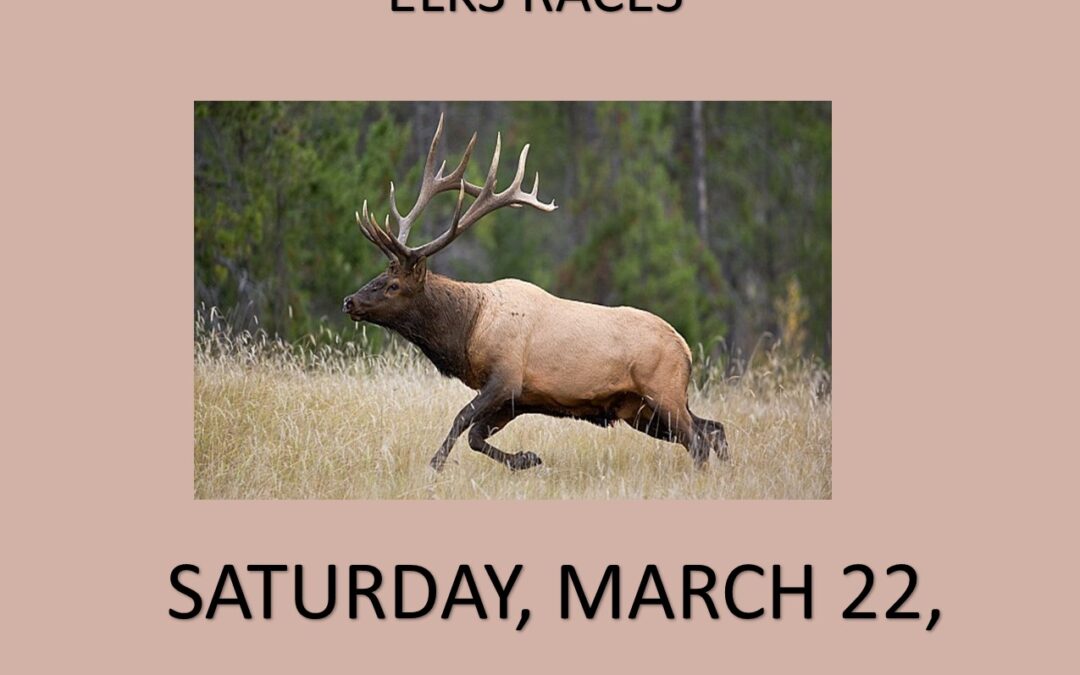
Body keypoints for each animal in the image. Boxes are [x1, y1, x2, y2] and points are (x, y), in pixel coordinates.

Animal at [343, 115, 728, 472]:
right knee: (713, 428)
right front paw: (527, 458)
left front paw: (435, 465)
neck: (468, 329)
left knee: (698, 438)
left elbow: (461, 420)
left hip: (662, 391)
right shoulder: (519, 399)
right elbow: (475, 436)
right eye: (380, 274)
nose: (349, 301)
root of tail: (685, 349)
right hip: (639, 409)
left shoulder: (505, 378)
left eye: (393, 285)